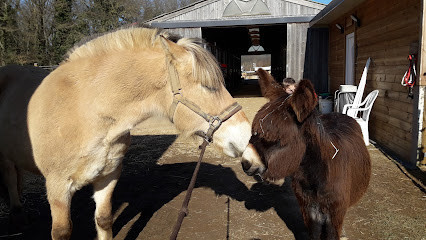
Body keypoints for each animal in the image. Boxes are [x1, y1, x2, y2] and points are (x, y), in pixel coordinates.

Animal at [0, 27, 250, 239]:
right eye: (209, 86)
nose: (247, 137)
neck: (87, 111)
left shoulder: (108, 176)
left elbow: (103, 220)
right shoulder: (57, 187)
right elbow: (62, 232)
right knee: (10, 180)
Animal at [241, 68, 372, 239]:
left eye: (276, 138)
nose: (245, 163)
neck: (315, 177)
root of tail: (340, 114)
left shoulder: (334, 213)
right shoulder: (308, 210)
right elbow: (314, 234)